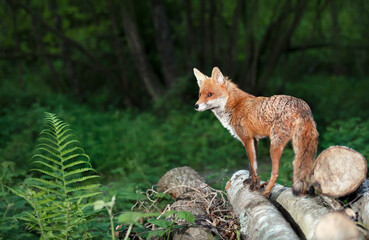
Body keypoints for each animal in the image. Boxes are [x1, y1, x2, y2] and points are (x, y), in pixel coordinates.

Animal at [194, 66, 318, 196]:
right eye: (200, 94)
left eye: (210, 94)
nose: (195, 106)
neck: (234, 105)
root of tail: (302, 105)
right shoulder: (254, 140)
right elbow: (253, 167)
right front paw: (251, 182)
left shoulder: (247, 139)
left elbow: (253, 166)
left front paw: (254, 186)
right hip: (300, 146)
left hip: (274, 147)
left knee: (276, 173)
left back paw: (266, 192)